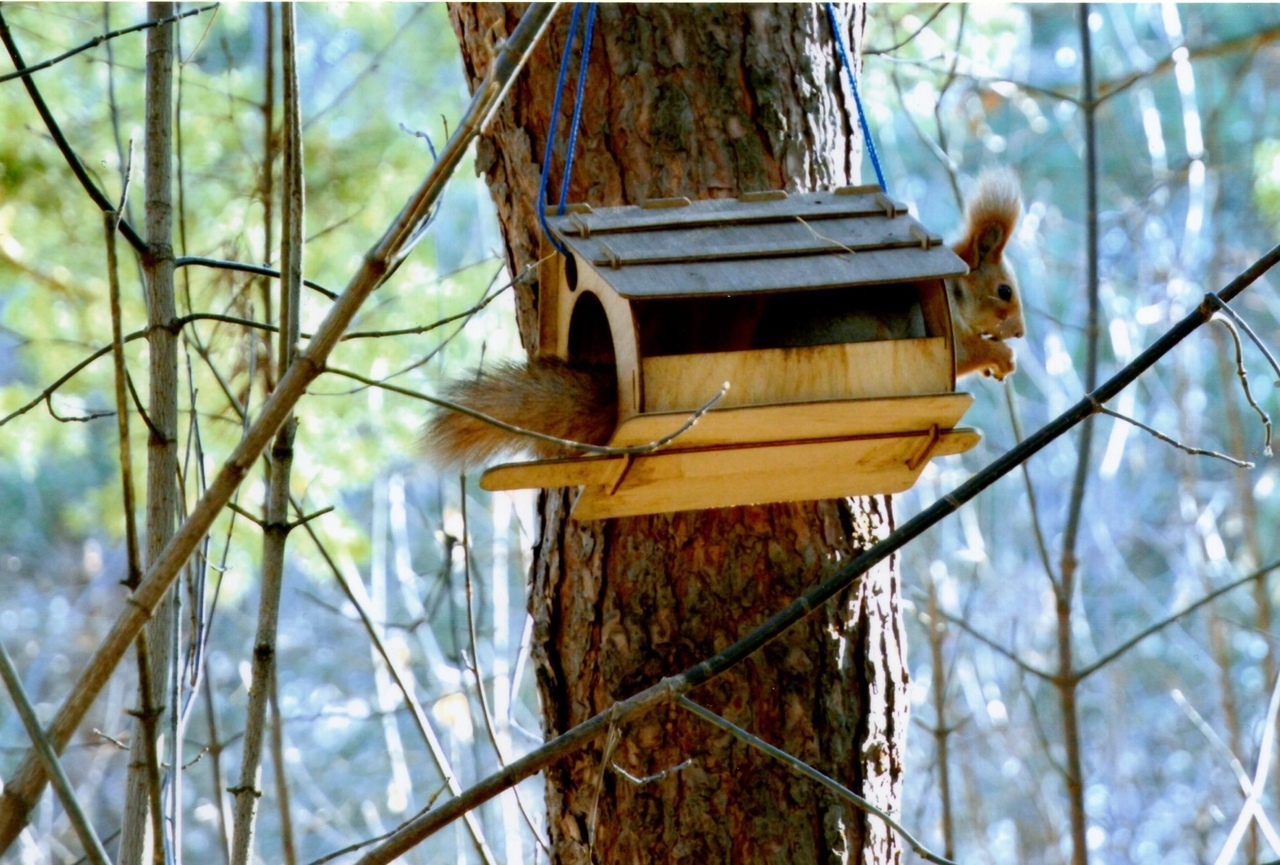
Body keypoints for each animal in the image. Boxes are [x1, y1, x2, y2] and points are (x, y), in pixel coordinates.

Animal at [424, 172, 1024, 470]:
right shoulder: (949, 326)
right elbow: (965, 352)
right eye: (1004, 292)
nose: (1019, 331)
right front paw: (1000, 357)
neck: (954, 290)